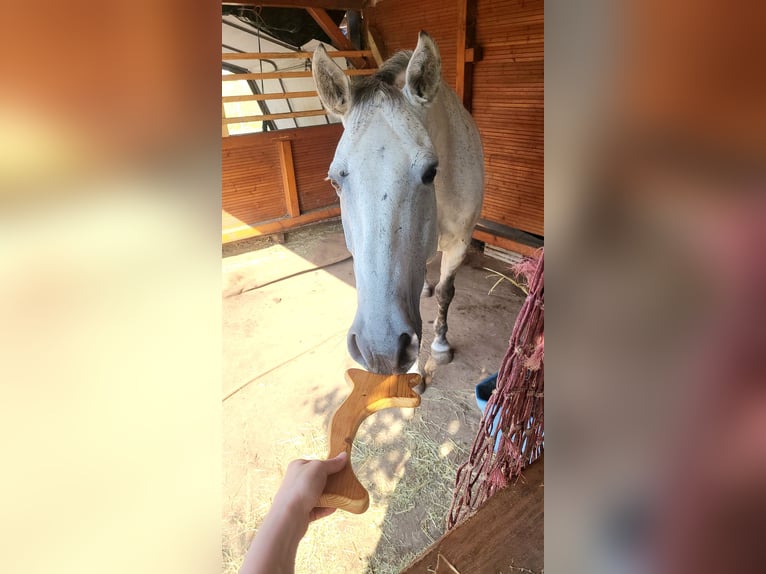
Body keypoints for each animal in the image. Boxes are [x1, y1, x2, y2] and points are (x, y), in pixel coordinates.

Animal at [314, 32, 484, 382]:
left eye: (430, 171)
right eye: (335, 180)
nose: (380, 350)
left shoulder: (460, 244)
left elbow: (447, 292)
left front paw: (440, 348)